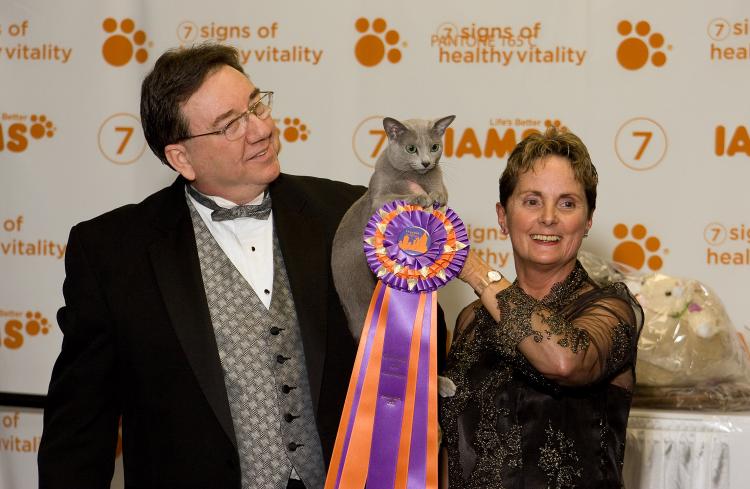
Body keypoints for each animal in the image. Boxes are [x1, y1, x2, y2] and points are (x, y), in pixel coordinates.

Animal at [332, 114, 456, 340]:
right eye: (411, 148)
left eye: (434, 147)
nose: (426, 162)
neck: (413, 176)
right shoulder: (378, 198)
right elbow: (398, 197)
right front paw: (420, 197)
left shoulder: (438, 179)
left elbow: (440, 191)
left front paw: (436, 196)